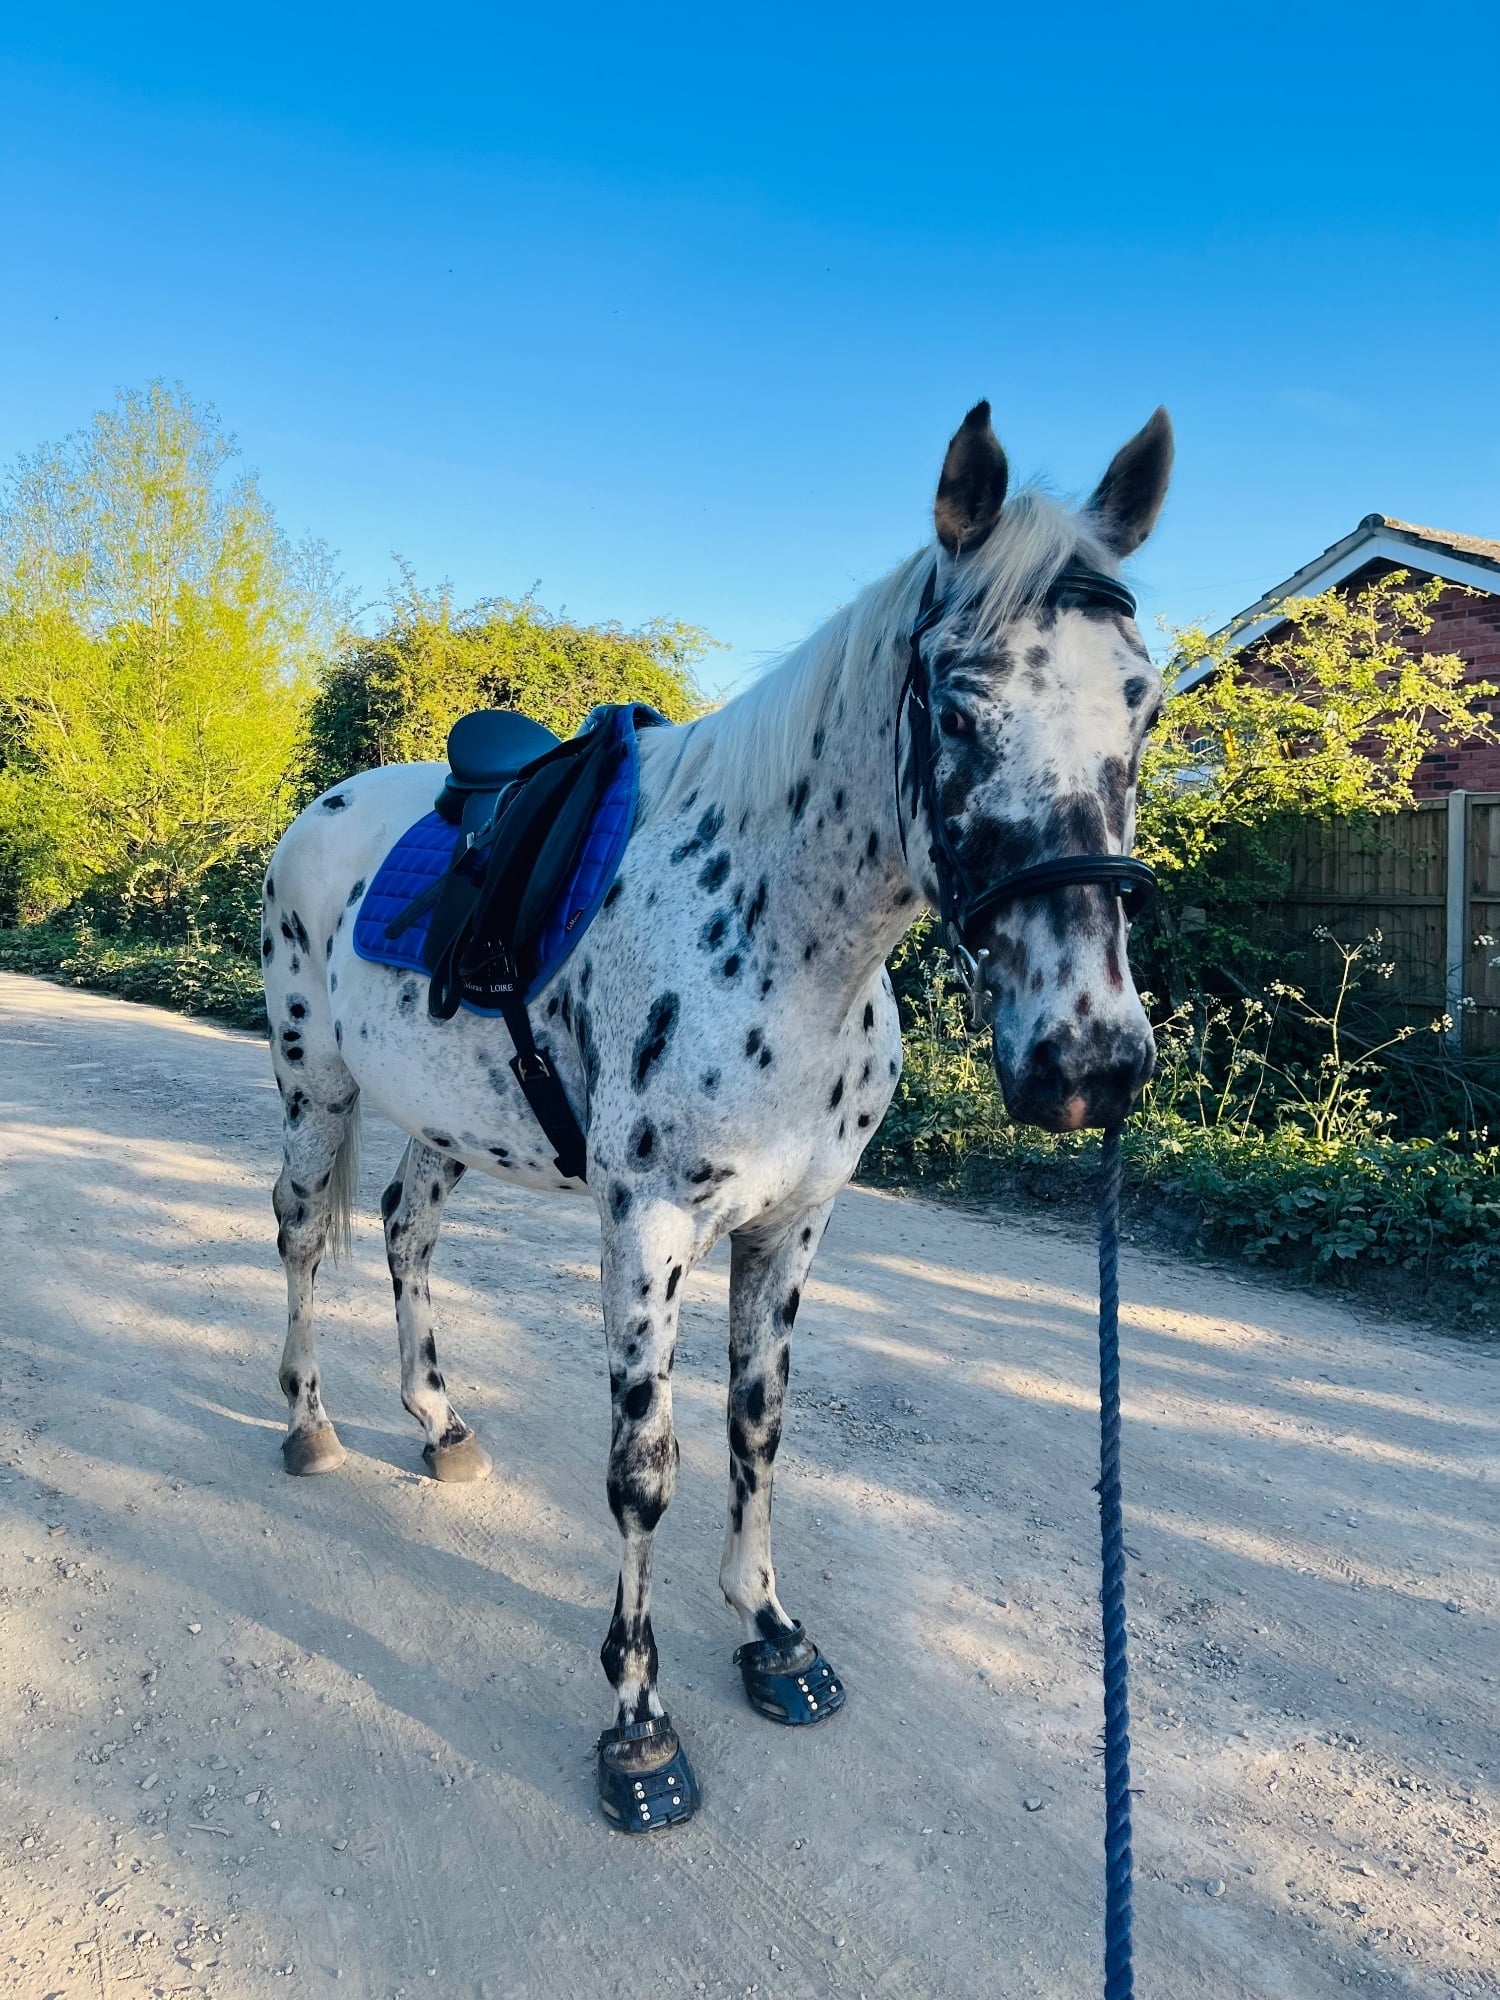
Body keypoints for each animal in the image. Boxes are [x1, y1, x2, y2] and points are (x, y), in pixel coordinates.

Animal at [259, 400, 1173, 1827]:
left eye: (1147, 701)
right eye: (958, 708)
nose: (1087, 1057)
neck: (779, 930)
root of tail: (327, 809)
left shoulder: (790, 1225)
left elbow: (758, 1424)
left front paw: (771, 1629)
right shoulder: (647, 1228)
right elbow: (646, 1469)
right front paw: (637, 1724)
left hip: (444, 1120)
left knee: (407, 1233)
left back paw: (439, 1423)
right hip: (317, 1086)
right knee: (303, 1233)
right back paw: (310, 1423)